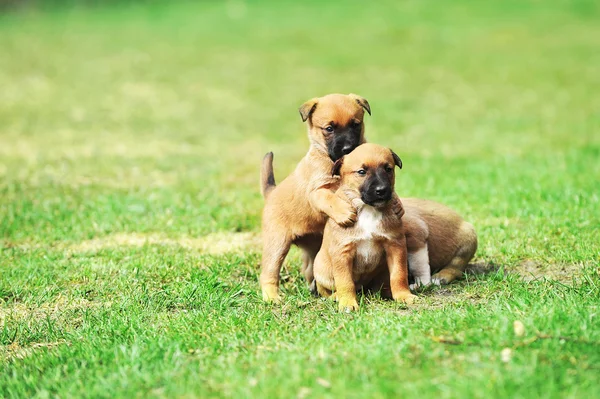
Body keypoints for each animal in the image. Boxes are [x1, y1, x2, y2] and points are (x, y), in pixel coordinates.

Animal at [260, 92, 372, 302]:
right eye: (329, 128)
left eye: (355, 124)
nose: (348, 148)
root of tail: (271, 193)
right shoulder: (317, 191)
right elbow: (329, 199)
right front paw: (344, 213)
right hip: (277, 244)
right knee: (268, 273)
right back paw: (272, 297)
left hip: (313, 248)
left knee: (309, 270)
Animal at [312, 144, 414, 312]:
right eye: (361, 172)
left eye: (388, 169)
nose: (381, 190)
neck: (367, 209)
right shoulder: (343, 252)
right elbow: (345, 282)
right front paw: (348, 303)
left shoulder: (395, 245)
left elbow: (399, 274)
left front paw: (403, 295)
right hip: (321, 269)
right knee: (326, 289)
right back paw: (336, 296)